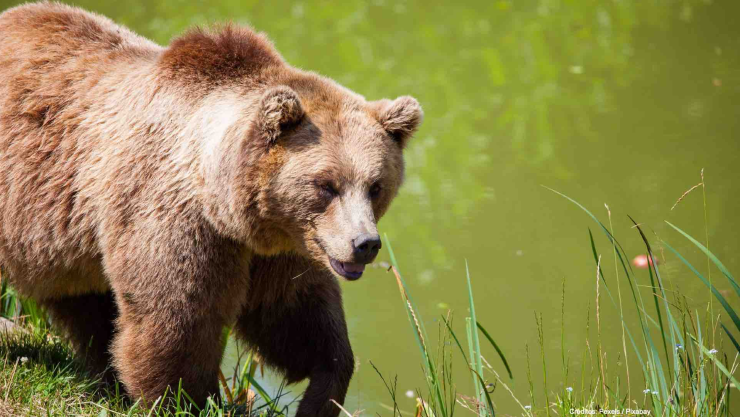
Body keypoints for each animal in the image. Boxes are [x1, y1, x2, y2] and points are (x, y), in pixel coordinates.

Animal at [0, 2, 423, 416]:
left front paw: (322, 391)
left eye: (376, 186)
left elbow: (296, 317)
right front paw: (185, 400)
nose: (364, 243)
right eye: (325, 185)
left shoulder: (282, 247)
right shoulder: (174, 217)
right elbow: (177, 321)